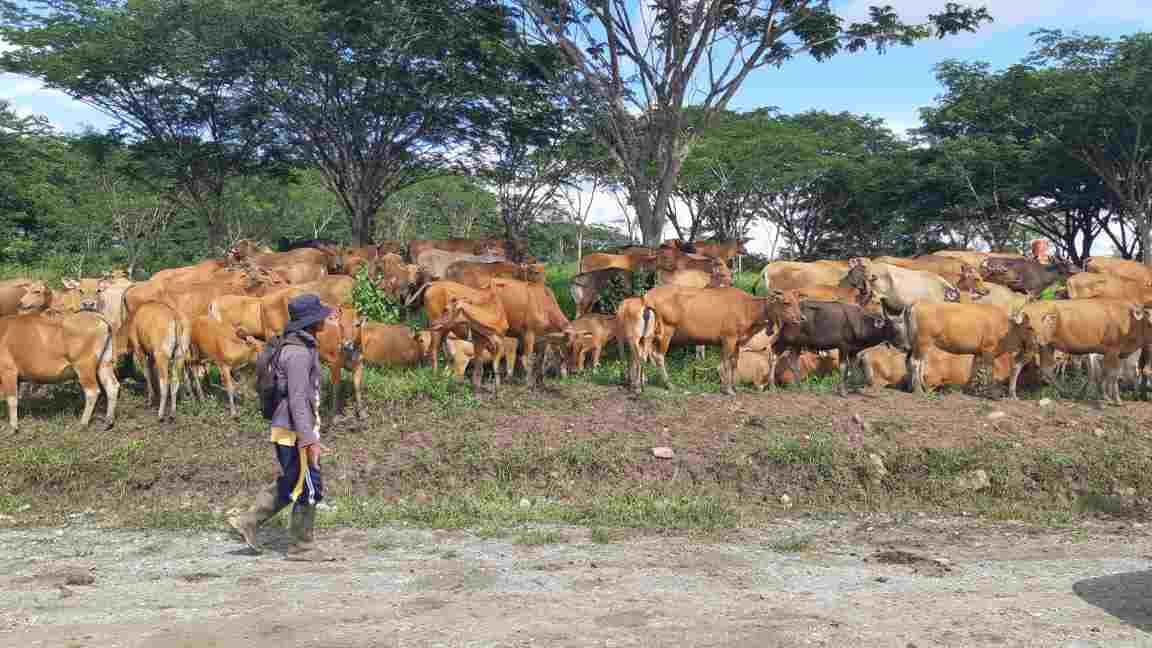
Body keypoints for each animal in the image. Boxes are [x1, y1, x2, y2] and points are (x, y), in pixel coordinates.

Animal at [645, 285, 806, 394]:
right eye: (786, 302)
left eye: (797, 302)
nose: (802, 318)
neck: (748, 308)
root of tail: (648, 296)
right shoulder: (728, 338)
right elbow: (725, 363)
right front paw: (727, 389)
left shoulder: (737, 341)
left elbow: (734, 362)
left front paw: (735, 386)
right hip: (666, 331)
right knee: (658, 356)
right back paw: (669, 384)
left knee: (646, 354)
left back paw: (644, 381)